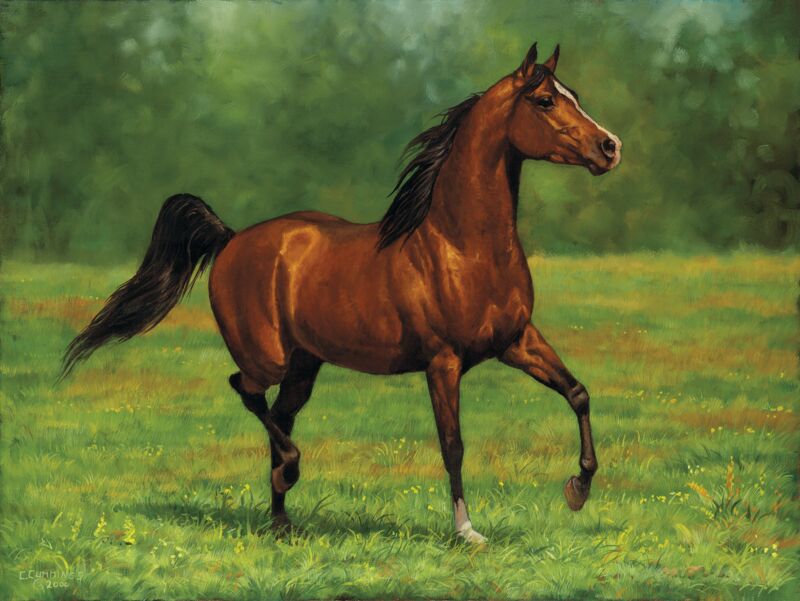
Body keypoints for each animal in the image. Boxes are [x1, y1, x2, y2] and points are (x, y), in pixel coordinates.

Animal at [62, 42, 621, 543]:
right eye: (544, 101)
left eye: (574, 95)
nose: (611, 147)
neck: (461, 245)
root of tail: (232, 238)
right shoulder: (443, 362)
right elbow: (453, 444)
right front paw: (467, 532)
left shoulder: (516, 341)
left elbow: (578, 393)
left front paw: (577, 489)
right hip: (267, 357)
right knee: (246, 391)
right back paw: (289, 474)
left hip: (303, 365)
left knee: (278, 415)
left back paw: (282, 520)